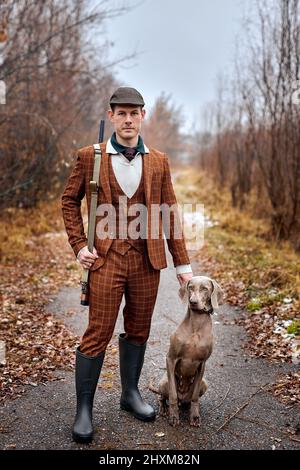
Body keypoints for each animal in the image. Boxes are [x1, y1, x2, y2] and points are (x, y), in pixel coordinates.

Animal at [157, 276, 223, 426]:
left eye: (205, 289)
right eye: (190, 287)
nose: (193, 302)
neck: (197, 324)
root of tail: (183, 398)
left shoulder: (202, 363)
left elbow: (195, 397)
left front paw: (194, 416)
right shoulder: (171, 358)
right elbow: (173, 395)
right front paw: (174, 416)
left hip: (205, 383)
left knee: (188, 399)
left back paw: (186, 407)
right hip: (163, 382)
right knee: (164, 397)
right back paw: (164, 408)